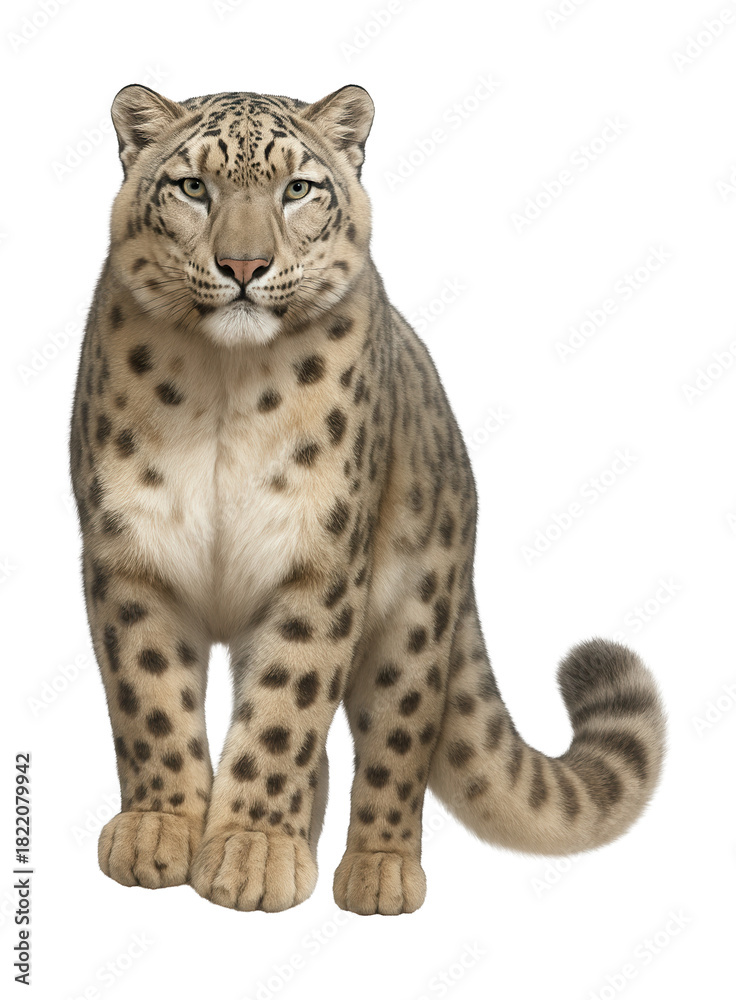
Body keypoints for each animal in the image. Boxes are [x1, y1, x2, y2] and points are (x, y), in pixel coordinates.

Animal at [69, 83, 666, 915]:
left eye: (297, 188)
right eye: (192, 186)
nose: (244, 263)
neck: (225, 384)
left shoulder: (319, 561)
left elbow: (284, 711)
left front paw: (251, 854)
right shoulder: (130, 553)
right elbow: (151, 697)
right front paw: (160, 831)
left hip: (414, 619)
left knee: (397, 740)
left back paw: (377, 871)